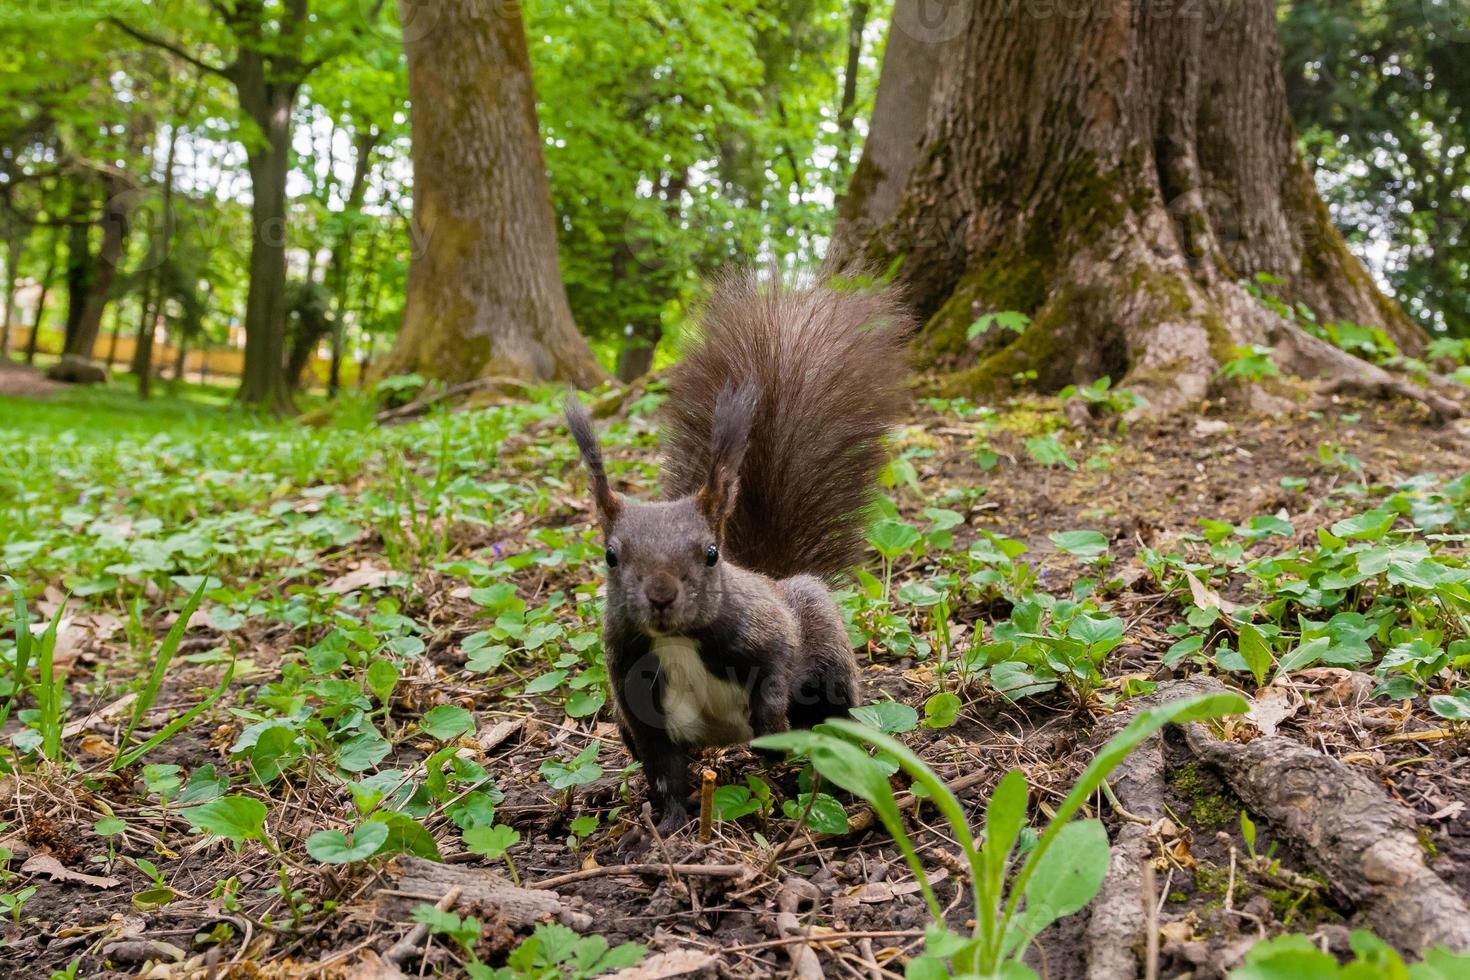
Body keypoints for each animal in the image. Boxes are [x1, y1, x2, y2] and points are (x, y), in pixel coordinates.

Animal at [561, 271, 905, 834]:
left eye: (710, 553)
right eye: (610, 556)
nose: (661, 595)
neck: (678, 641)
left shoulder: (768, 632)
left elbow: (775, 670)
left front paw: (771, 732)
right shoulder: (633, 693)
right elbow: (663, 771)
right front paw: (669, 827)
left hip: (828, 655)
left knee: (833, 719)